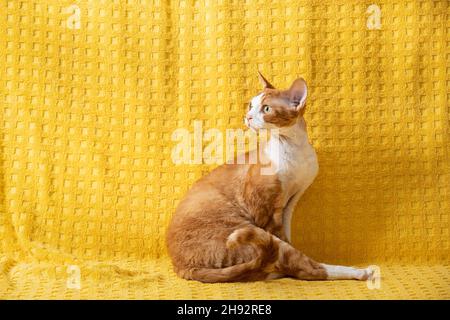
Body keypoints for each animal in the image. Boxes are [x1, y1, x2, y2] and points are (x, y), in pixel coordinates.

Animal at [165, 72, 372, 282]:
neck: (294, 149)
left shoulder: (292, 201)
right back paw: (359, 272)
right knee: (304, 267)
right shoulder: (266, 210)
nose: (247, 117)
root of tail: (182, 267)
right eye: (251, 105)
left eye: (266, 109)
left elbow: (288, 235)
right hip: (242, 228)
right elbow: (286, 245)